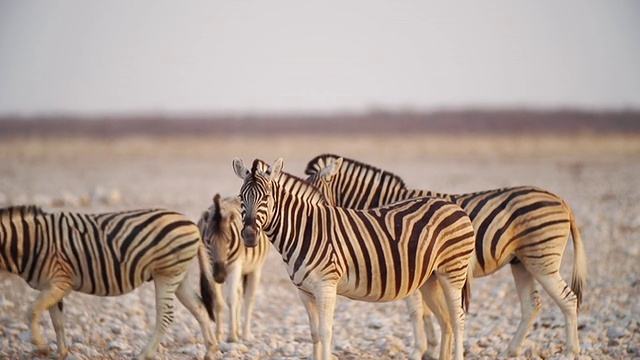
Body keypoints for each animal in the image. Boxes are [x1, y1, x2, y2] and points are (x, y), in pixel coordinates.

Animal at [0, 205, 220, 360]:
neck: (28, 242)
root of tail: (192, 224)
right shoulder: (52, 286)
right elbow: (57, 321)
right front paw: (60, 352)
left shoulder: (60, 282)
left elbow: (32, 311)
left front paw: (42, 347)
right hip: (180, 275)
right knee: (199, 307)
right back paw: (211, 350)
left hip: (167, 274)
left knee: (166, 315)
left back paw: (144, 354)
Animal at [200, 194, 270, 344]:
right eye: (208, 241)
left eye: (228, 240)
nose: (220, 275)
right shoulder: (210, 266)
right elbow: (219, 302)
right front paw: (218, 336)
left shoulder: (235, 266)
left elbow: (231, 299)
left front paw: (232, 336)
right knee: (239, 295)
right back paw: (238, 331)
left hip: (255, 268)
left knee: (249, 299)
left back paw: (245, 334)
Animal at [232, 158, 478, 360]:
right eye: (241, 197)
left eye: (266, 197)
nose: (249, 235)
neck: (305, 229)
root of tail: (452, 205)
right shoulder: (305, 292)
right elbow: (314, 334)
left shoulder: (326, 285)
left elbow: (325, 332)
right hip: (430, 279)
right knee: (446, 321)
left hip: (452, 272)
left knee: (458, 319)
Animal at [302, 153, 588, 358]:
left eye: (314, 197)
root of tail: (561, 200)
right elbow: (430, 313)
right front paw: (432, 348)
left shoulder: (404, 264)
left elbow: (417, 311)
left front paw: (421, 350)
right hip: (521, 262)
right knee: (532, 305)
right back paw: (510, 351)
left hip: (542, 259)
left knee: (567, 299)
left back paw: (571, 352)